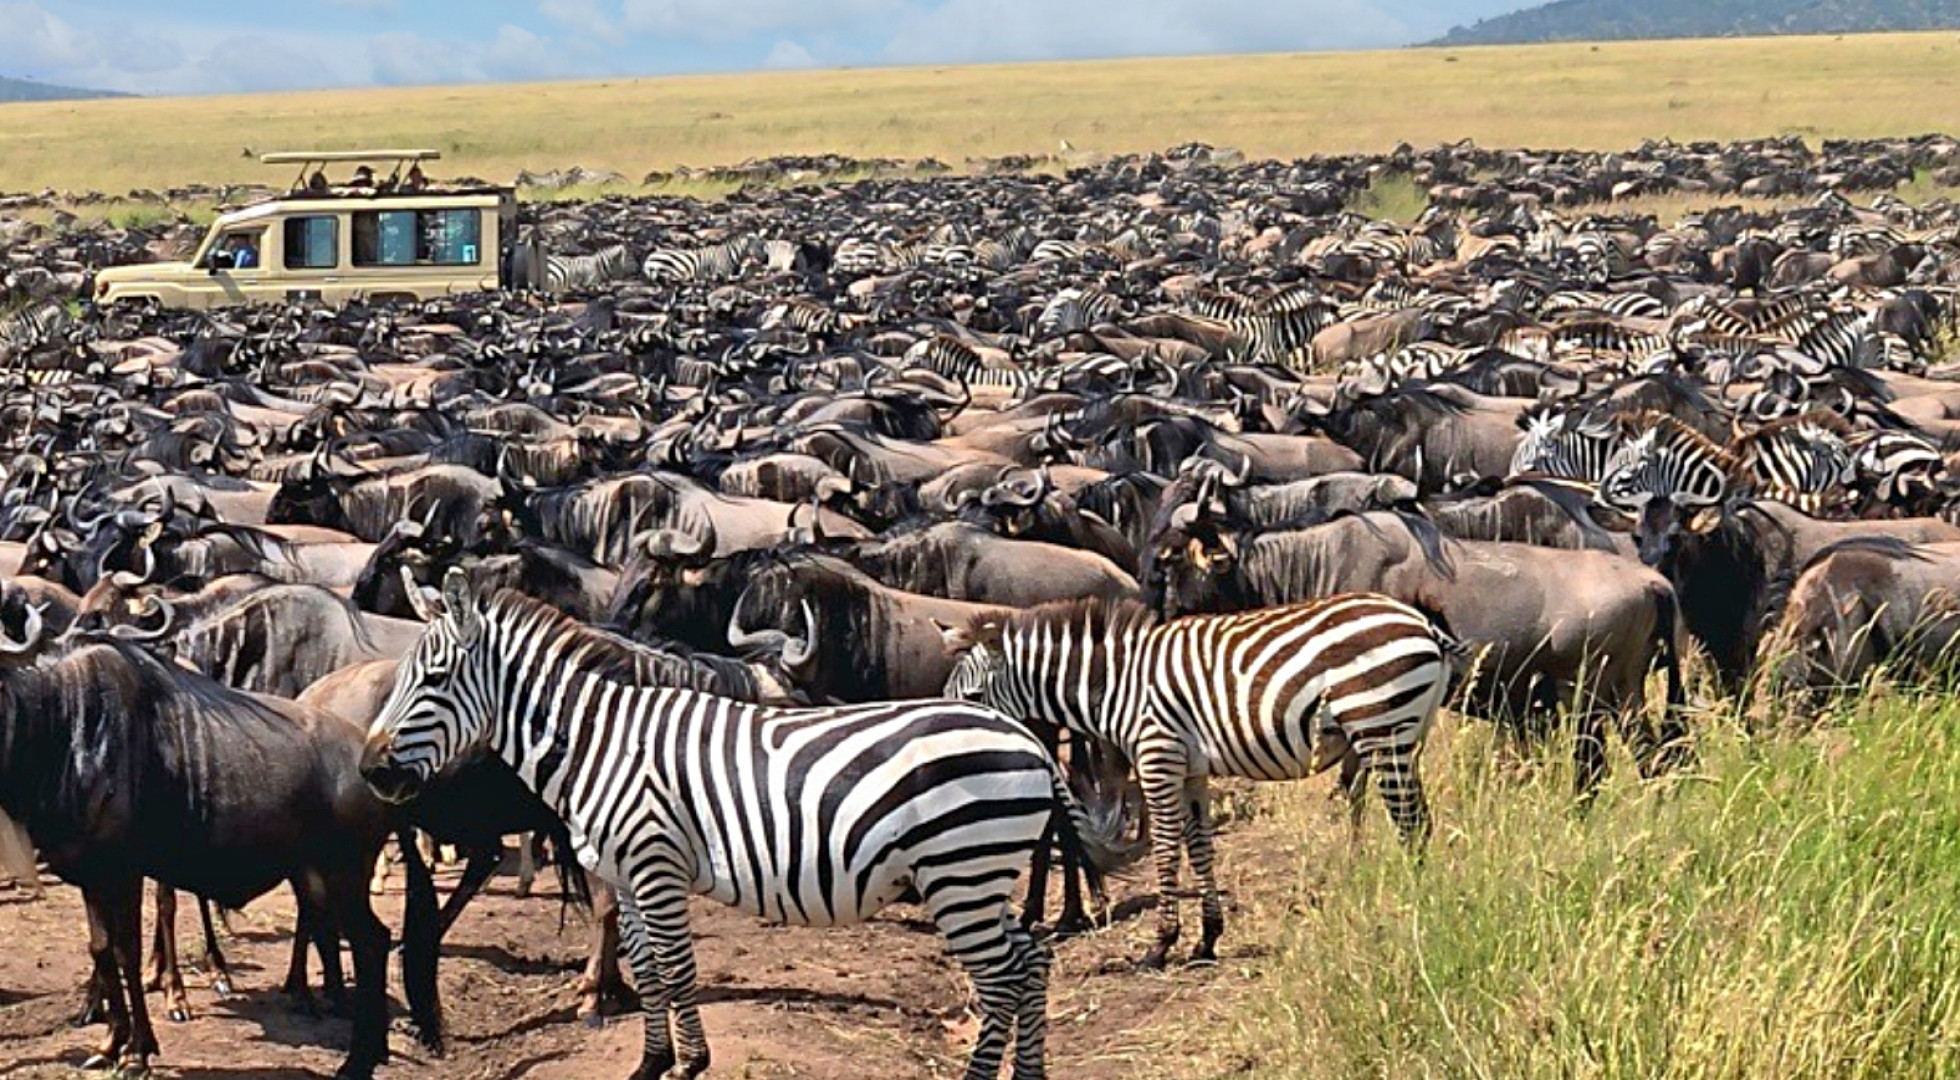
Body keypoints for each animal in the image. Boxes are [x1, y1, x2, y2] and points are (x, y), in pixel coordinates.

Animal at [360, 576, 1106, 1080]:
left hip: (961, 870)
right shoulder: (624, 872)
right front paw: (651, 1063)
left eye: (434, 677)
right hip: (978, 873)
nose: (370, 770)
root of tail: (1029, 741)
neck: (600, 741)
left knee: (1003, 976)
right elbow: (650, 970)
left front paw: (692, 1062)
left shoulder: (655, 863)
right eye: (403, 676)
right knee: (1031, 961)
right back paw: (1028, 1072)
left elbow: (678, 966)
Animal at [942, 594, 1453, 968]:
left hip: (1381, 729)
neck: (1117, 684)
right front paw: (1207, 939)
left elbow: (1168, 848)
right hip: (1405, 736)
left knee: (1412, 826)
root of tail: (1420, 622)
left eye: (975, 695)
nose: (957, 742)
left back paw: (1416, 909)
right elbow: (1200, 846)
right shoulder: (1191, 770)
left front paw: (1160, 944)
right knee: (1420, 822)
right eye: (950, 694)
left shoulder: (1158, 756)